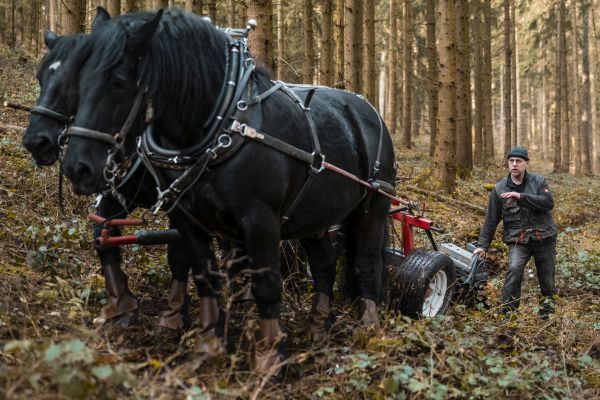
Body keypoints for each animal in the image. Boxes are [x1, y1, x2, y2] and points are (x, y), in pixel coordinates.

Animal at [21, 8, 193, 332]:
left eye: (72, 81)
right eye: (40, 77)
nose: (36, 141)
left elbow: (180, 252)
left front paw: (174, 314)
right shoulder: (113, 196)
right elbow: (102, 235)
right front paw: (122, 306)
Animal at [59, 8, 394, 372]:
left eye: (118, 81)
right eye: (78, 81)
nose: (77, 166)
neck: (224, 123)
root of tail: (368, 110)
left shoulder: (260, 220)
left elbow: (266, 285)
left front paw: (269, 355)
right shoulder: (187, 218)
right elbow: (205, 276)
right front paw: (208, 344)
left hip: (374, 204)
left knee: (367, 261)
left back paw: (369, 326)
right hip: (315, 214)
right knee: (323, 263)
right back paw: (318, 326)